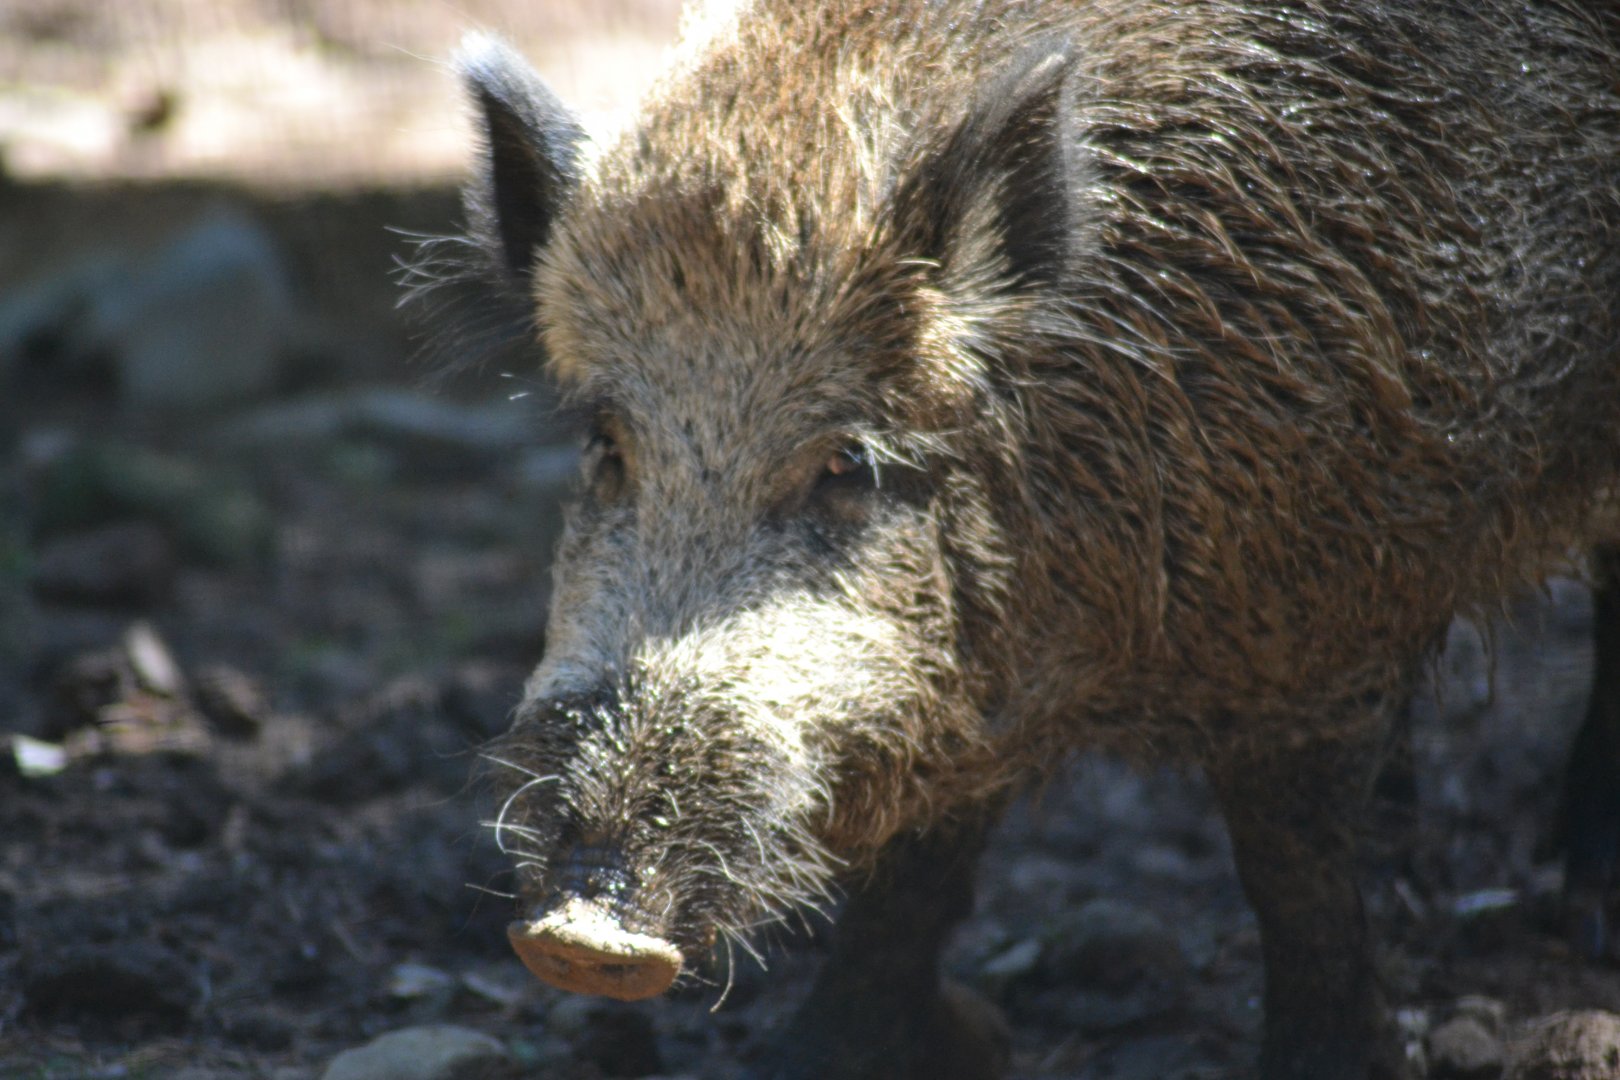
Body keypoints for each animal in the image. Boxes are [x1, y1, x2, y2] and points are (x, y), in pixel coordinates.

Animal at [408, 1, 1620, 1077]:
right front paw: (825, 1058)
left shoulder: (1327, 611)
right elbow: (911, 879)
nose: (580, 938)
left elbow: (1293, 866)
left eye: (845, 464)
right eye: (608, 443)